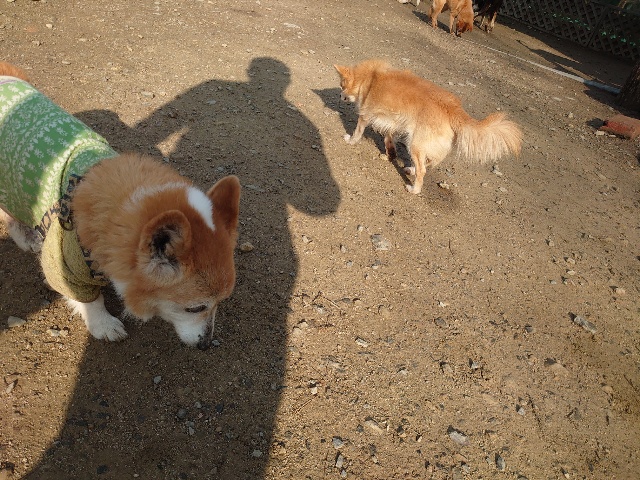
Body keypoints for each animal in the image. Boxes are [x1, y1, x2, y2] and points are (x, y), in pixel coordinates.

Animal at [0, 62, 241, 349]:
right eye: (195, 308)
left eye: (220, 303)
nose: (205, 345)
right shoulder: (63, 266)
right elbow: (89, 299)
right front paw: (103, 324)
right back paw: (25, 236)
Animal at [334, 60, 522, 194]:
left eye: (342, 86)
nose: (340, 96)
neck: (369, 78)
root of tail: (453, 108)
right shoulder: (392, 122)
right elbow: (389, 137)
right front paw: (390, 153)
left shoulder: (365, 115)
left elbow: (358, 131)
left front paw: (351, 140)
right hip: (425, 144)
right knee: (431, 161)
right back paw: (411, 169)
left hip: (415, 143)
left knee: (423, 169)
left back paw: (414, 189)